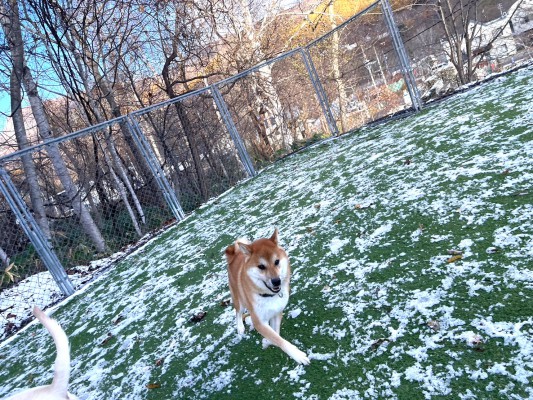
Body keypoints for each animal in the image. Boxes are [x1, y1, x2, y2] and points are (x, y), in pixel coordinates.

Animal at [223, 228, 308, 366]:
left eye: (277, 262)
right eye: (261, 266)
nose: (277, 281)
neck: (268, 296)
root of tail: (234, 255)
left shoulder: (277, 312)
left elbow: (276, 334)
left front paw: (268, 341)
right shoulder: (258, 321)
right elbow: (278, 339)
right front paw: (297, 355)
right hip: (239, 299)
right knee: (238, 312)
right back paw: (240, 327)